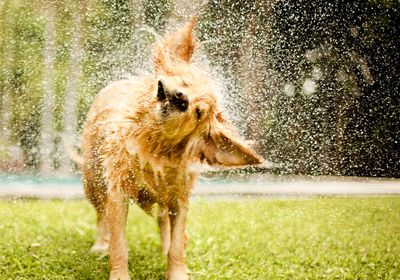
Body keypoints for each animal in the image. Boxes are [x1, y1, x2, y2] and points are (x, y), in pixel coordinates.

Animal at [80, 18, 262, 280]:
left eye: (198, 112)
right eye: (185, 82)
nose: (180, 98)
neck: (154, 144)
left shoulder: (179, 195)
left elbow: (177, 244)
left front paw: (177, 271)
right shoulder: (119, 191)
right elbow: (119, 243)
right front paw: (119, 272)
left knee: (164, 221)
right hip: (93, 179)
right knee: (101, 214)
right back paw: (100, 244)